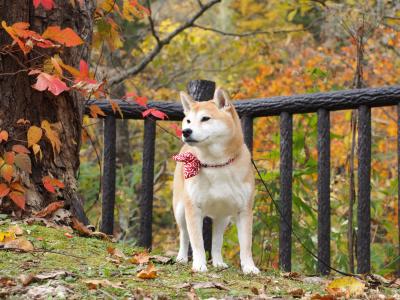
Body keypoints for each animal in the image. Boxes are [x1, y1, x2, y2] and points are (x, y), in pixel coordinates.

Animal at [171, 87, 260, 274]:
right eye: (188, 120)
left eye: (205, 118)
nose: (186, 131)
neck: (216, 164)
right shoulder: (193, 209)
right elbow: (197, 242)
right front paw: (199, 264)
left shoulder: (244, 210)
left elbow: (246, 244)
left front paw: (249, 267)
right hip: (180, 210)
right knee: (184, 235)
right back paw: (181, 258)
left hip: (222, 217)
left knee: (217, 241)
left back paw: (218, 262)